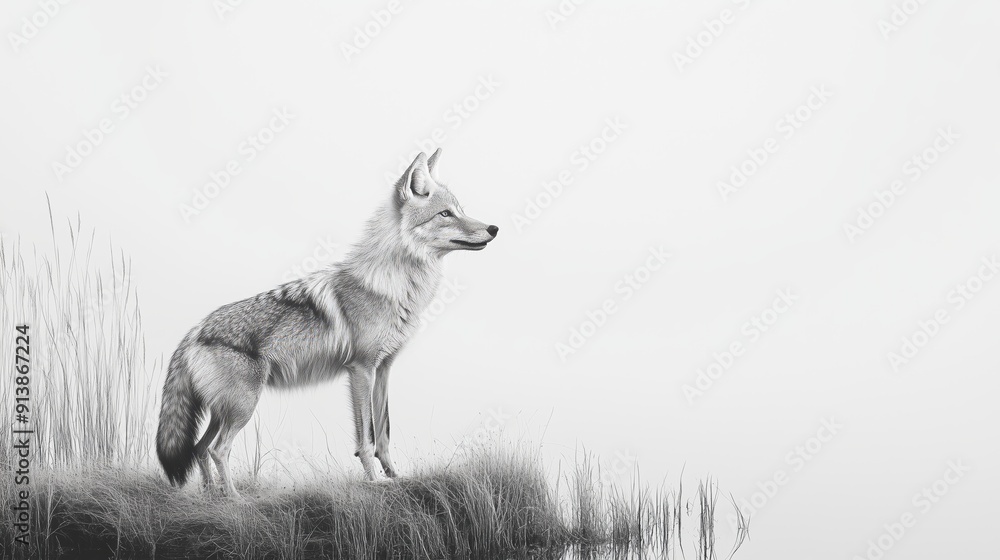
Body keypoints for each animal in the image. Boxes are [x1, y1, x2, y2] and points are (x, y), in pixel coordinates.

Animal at [155, 149, 498, 497]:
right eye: (445, 214)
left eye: (460, 210)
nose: (494, 228)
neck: (393, 286)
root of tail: (194, 332)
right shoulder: (361, 370)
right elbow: (366, 438)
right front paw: (374, 483)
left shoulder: (384, 369)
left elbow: (384, 433)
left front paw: (396, 478)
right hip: (242, 408)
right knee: (217, 449)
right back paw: (236, 499)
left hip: (225, 411)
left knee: (199, 448)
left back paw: (212, 496)